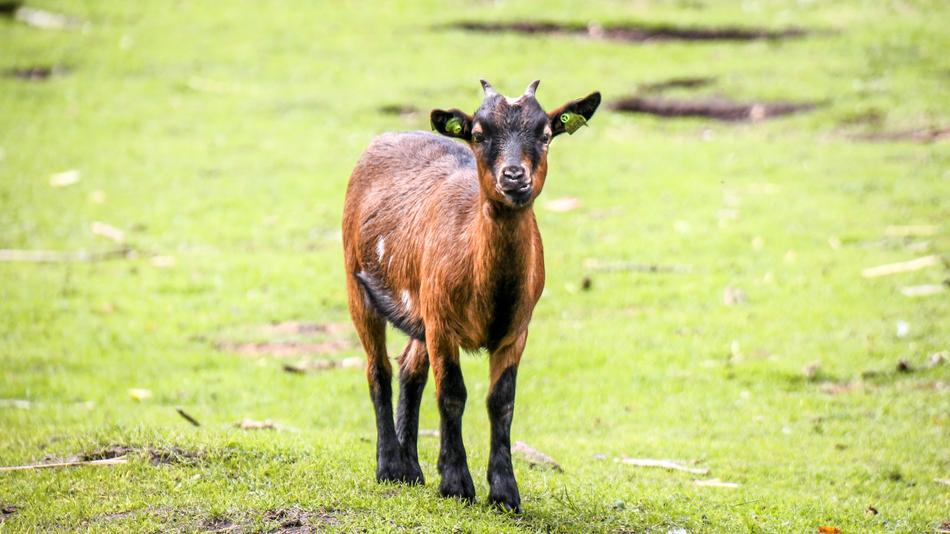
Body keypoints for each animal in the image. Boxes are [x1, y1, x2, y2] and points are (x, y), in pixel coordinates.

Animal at [342, 79, 600, 512]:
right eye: (479, 134)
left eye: (546, 134)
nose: (513, 176)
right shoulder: (442, 323)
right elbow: (452, 394)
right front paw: (457, 484)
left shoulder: (515, 330)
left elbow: (501, 401)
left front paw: (505, 493)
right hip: (357, 283)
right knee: (378, 369)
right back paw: (390, 467)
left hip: (421, 310)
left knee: (410, 369)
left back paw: (412, 470)